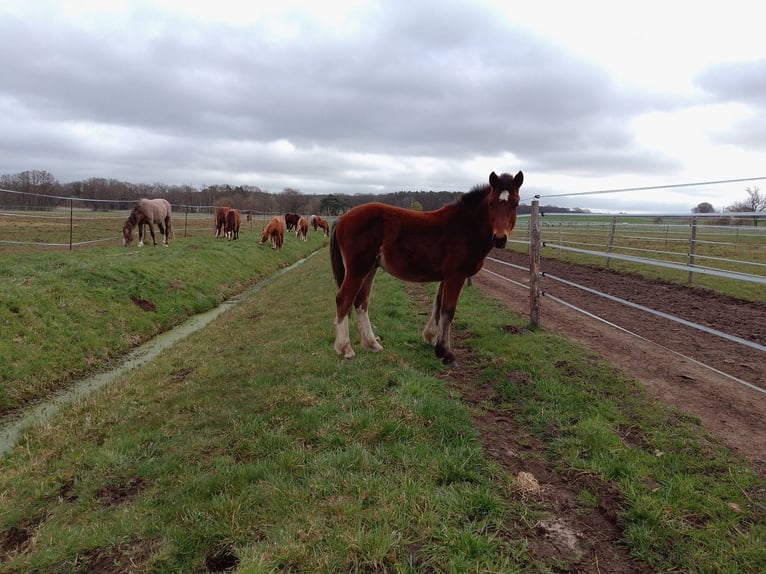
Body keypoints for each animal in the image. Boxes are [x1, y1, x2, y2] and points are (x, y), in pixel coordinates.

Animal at [330, 170, 523, 366]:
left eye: (516, 203)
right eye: (491, 203)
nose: (500, 239)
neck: (465, 227)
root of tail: (343, 218)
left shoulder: (446, 277)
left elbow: (438, 306)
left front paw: (431, 339)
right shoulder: (456, 276)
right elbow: (448, 310)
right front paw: (445, 352)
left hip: (370, 269)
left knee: (361, 302)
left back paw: (372, 344)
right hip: (358, 269)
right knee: (344, 299)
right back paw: (345, 349)